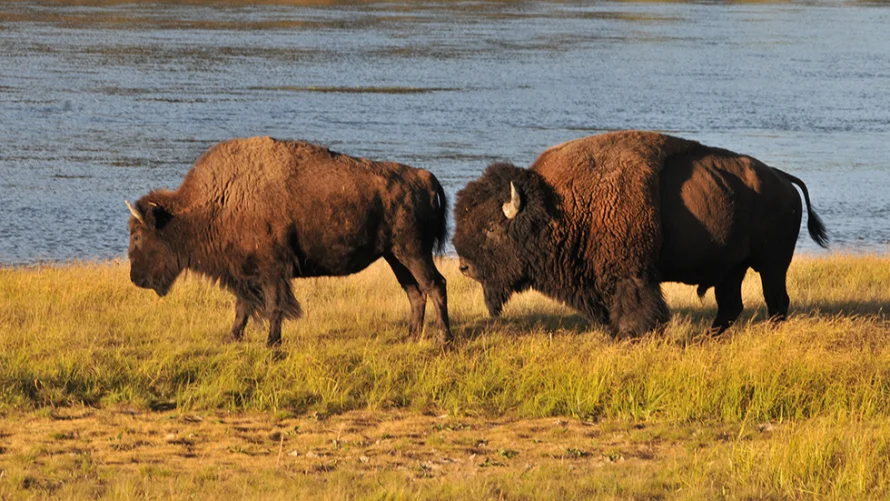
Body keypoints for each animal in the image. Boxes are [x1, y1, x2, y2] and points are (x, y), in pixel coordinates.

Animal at [125, 137, 450, 348]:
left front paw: (272, 343)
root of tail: (424, 177)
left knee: (435, 285)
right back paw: (411, 337)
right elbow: (242, 307)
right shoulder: (245, 273)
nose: (136, 278)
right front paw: (232, 337)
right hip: (395, 257)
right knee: (415, 292)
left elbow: (273, 306)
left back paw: (444, 340)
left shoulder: (271, 270)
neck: (223, 198)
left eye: (138, 235)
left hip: (413, 251)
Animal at [454, 131, 828, 338]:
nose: (464, 267)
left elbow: (637, 309)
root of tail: (783, 180)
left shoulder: (630, 275)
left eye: (492, 228)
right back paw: (710, 338)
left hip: (772, 265)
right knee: (731, 305)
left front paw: (631, 336)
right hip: (732, 269)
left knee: (776, 301)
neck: (558, 203)